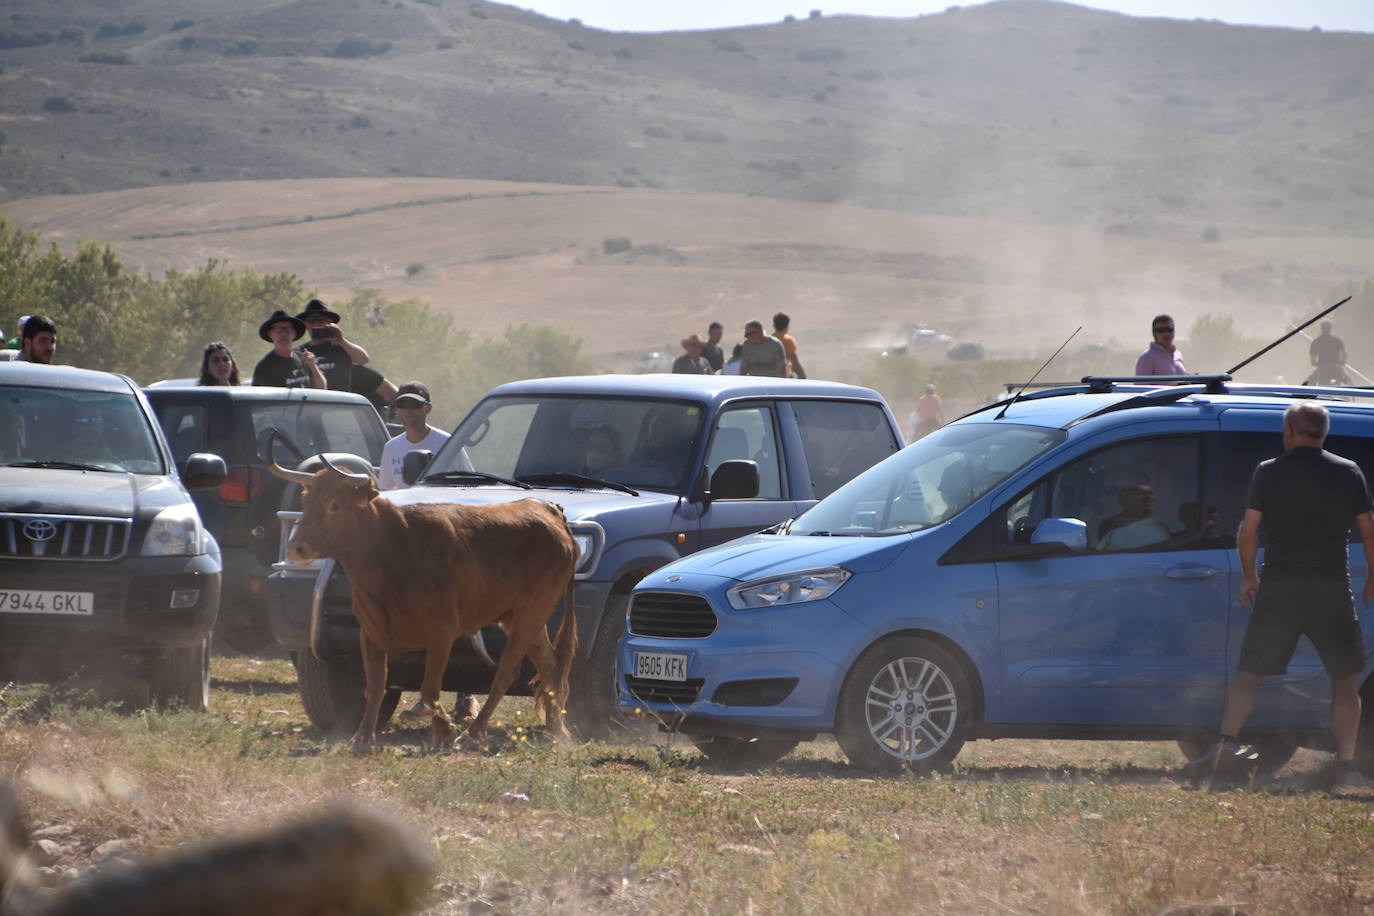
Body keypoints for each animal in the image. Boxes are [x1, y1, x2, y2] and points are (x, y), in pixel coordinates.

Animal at [270, 447, 577, 758]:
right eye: (306, 501)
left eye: (335, 505)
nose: (297, 548)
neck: (394, 549)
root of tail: (550, 510)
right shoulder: (369, 634)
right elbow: (374, 687)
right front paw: (362, 737)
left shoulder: (441, 633)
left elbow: (429, 688)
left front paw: (444, 733)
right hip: (519, 617)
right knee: (550, 666)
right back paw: (556, 731)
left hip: (533, 611)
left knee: (506, 673)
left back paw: (472, 733)